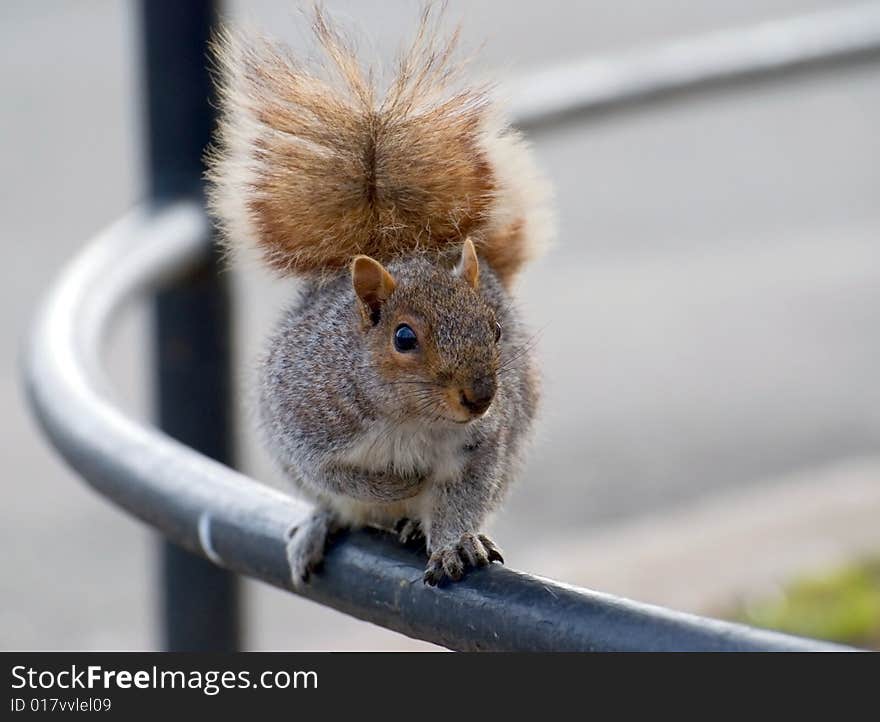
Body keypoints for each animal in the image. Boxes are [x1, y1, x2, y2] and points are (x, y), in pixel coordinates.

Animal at [204, 7, 552, 584]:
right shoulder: (308, 424)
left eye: (497, 329)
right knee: (333, 503)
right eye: (404, 338)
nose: (480, 397)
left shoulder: (481, 445)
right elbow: (337, 477)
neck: (410, 419)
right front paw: (399, 484)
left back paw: (414, 525)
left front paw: (455, 542)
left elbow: (462, 495)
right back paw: (323, 525)